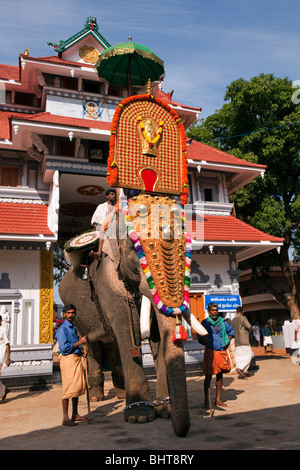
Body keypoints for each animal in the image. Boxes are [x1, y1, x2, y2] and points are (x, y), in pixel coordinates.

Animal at [59, 194, 207, 436]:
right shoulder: (107, 279)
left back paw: (119, 395)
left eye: (187, 250)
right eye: (134, 247)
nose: (181, 431)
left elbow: (157, 335)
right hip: (77, 317)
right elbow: (128, 332)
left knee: (111, 344)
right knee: (91, 345)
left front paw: (164, 411)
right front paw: (139, 416)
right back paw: (97, 397)